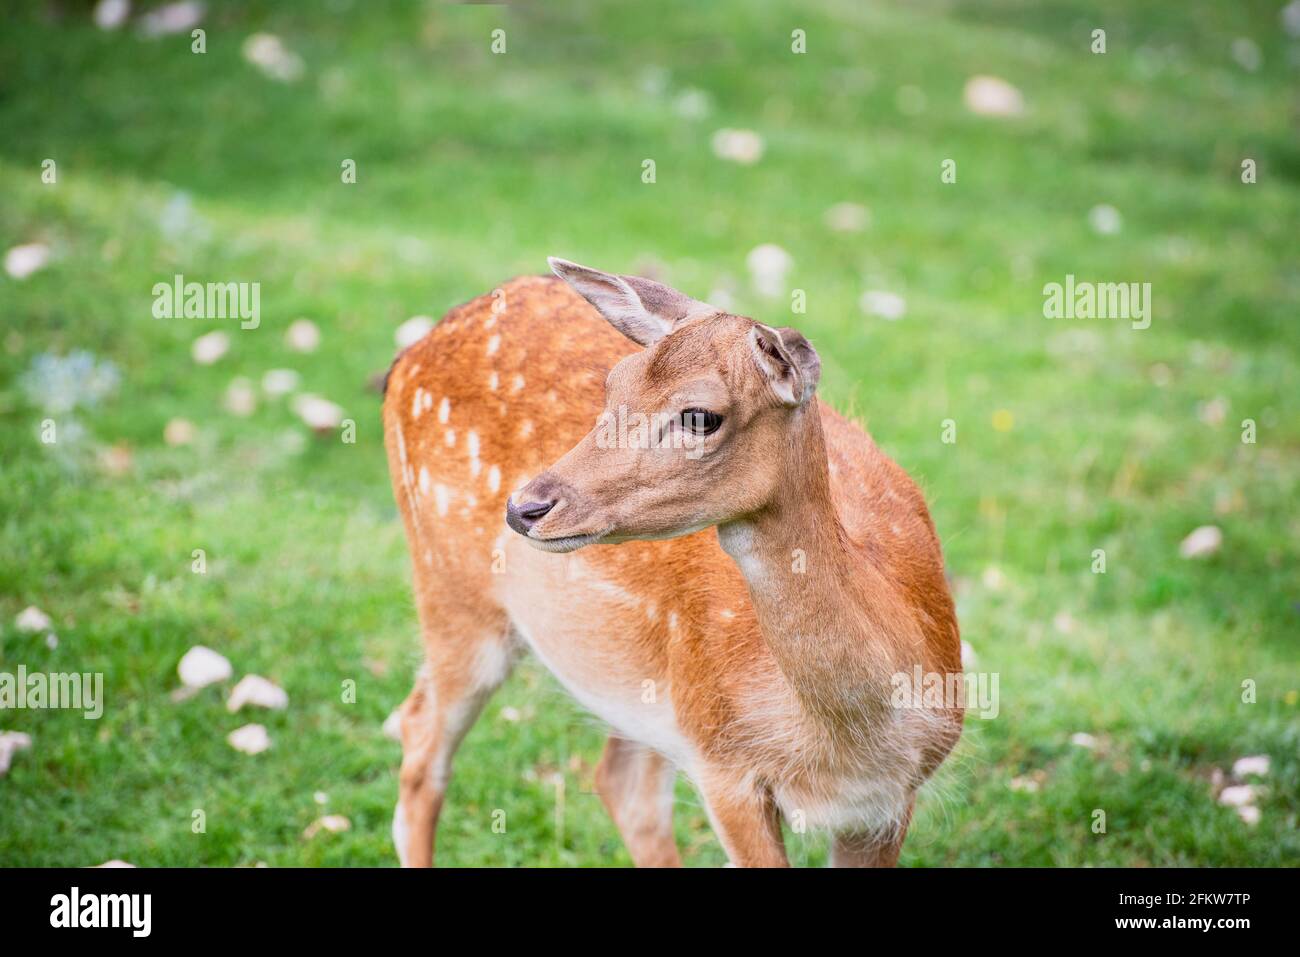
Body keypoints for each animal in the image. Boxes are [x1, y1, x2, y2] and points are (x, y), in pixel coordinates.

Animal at [381, 258, 963, 867]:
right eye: (614, 382)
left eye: (701, 416)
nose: (525, 507)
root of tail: (412, 350)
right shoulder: (723, 764)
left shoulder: (887, 801)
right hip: (452, 589)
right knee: (419, 735)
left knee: (620, 782)